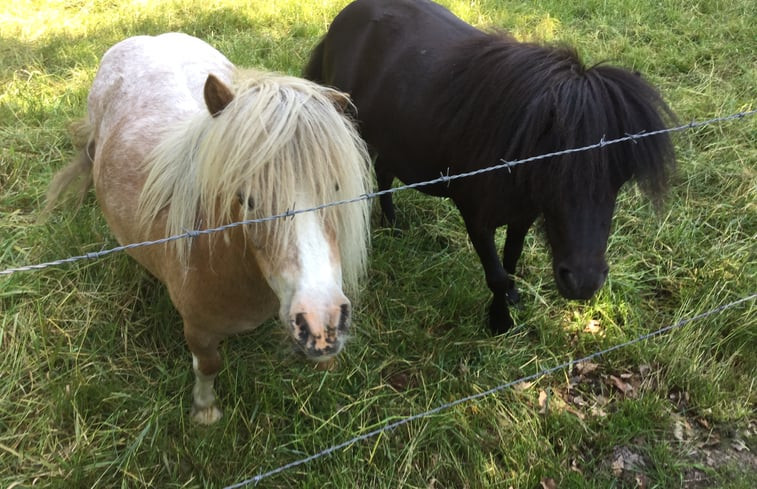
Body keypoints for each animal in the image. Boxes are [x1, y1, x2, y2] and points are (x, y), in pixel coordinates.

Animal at [45, 33, 372, 424]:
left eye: (337, 188)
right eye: (246, 199)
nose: (322, 324)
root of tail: (148, 37)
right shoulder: (198, 331)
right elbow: (208, 366)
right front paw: (205, 411)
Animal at [304, 0, 676, 332]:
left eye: (621, 178)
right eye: (554, 169)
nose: (584, 282)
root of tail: (345, 17)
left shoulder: (523, 215)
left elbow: (510, 261)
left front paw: (510, 299)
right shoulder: (476, 217)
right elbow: (495, 273)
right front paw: (499, 321)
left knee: (384, 172)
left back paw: (394, 225)